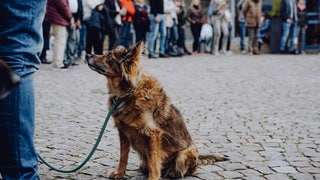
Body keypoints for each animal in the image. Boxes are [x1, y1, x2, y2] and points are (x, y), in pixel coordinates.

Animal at [87, 41, 228, 179]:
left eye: (109, 55)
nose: (87, 54)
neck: (127, 93)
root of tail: (198, 158)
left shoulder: (152, 134)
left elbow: (153, 162)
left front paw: (153, 177)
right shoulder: (123, 131)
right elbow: (123, 156)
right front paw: (119, 174)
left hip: (185, 153)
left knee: (188, 170)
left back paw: (172, 172)